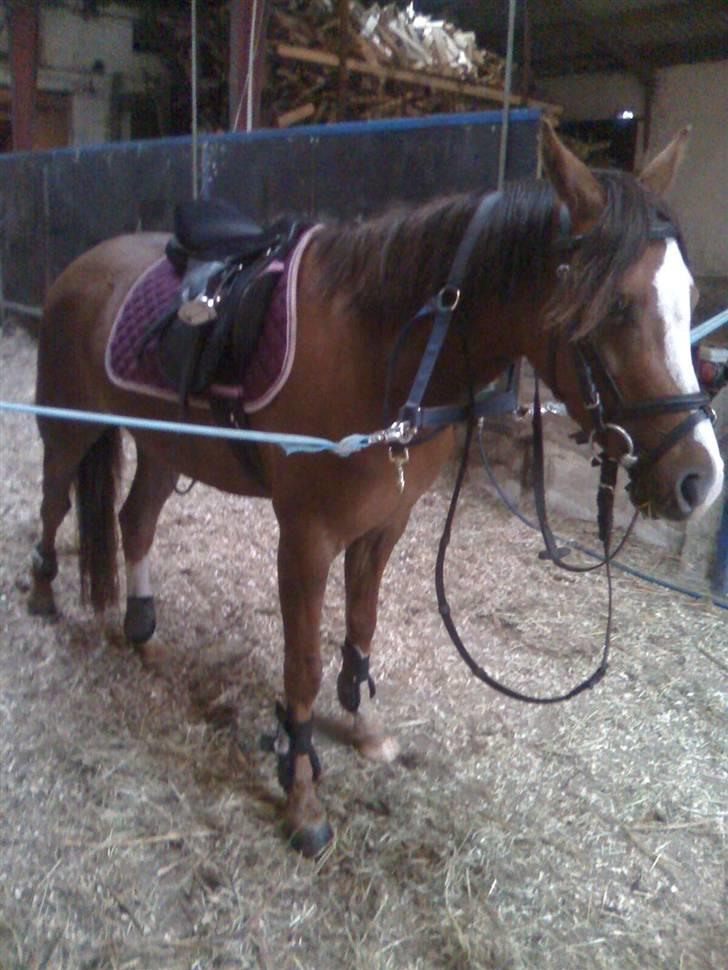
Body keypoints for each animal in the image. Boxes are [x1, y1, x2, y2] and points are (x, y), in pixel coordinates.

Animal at [28, 123, 723, 856]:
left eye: (690, 300)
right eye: (616, 305)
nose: (699, 479)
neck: (387, 351)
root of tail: (85, 264)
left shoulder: (385, 523)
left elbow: (361, 626)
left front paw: (361, 725)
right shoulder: (305, 538)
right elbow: (302, 664)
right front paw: (302, 789)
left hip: (165, 444)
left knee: (134, 521)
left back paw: (142, 631)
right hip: (67, 426)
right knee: (53, 502)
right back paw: (43, 594)